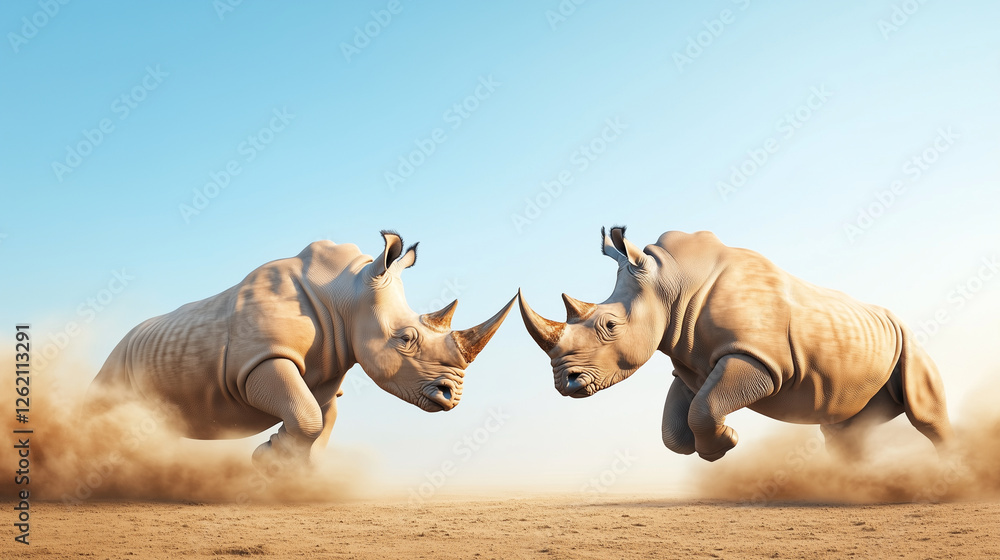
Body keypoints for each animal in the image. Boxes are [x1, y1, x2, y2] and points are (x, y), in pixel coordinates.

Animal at [87, 231, 515, 468]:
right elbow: (307, 415)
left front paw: (286, 469)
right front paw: (268, 458)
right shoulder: (261, 359)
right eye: (405, 339)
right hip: (118, 361)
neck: (348, 295)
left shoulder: (331, 368)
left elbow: (320, 419)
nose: (452, 396)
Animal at [518, 227, 953, 461]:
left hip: (909, 343)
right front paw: (715, 446)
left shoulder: (760, 359)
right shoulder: (690, 362)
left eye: (609, 324)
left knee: (926, 415)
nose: (565, 384)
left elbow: (704, 408)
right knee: (842, 429)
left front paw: (724, 443)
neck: (669, 282)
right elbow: (675, 428)